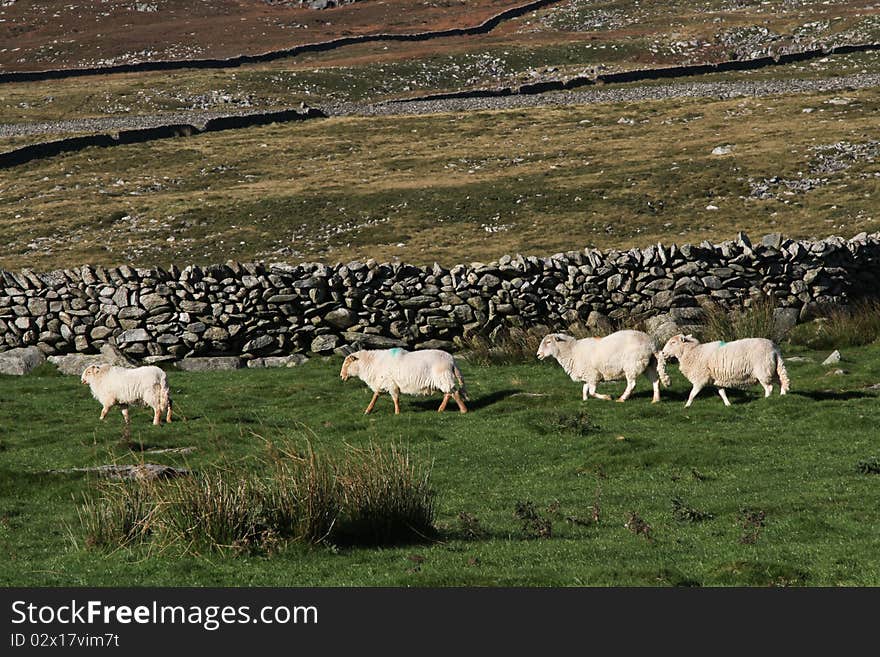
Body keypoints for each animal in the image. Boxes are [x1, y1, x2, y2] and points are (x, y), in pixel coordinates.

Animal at [340, 346, 468, 412]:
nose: (341, 376)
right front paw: (368, 410)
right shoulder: (382, 382)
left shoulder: (391, 383)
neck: (371, 363)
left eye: (347, 363)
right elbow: (375, 396)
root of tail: (451, 359)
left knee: (454, 392)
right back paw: (441, 409)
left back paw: (463, 410)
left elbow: (395, 399)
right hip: (443, 379)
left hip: (443, 377)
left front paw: (397, 413)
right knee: (448, 393)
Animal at [532, 330, 672, 402]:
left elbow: (592, 391)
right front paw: (585, 400)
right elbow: (585, 389)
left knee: (632, 384)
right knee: (656, 380)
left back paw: (622, 398)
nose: (538, 354)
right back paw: (655, 399)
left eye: (548, 342)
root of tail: (652, 344)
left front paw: (606, 397)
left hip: (632, 365)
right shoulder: (587, 375)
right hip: (649, 365)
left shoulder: (593, 375)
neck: (572, 351)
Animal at [660, 334, 792, 404]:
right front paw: (728, 404)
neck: (694, 352)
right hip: (772, 369)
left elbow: (692, 394)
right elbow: (722, 392)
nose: (662, 353)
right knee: (781, 381)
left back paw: (766, 400)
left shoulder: (700, 379)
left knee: (769, 387)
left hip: (763, 370)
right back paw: (782, 395)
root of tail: (774, 349)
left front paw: (686, 406)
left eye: (673, 342)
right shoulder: (716, 380)